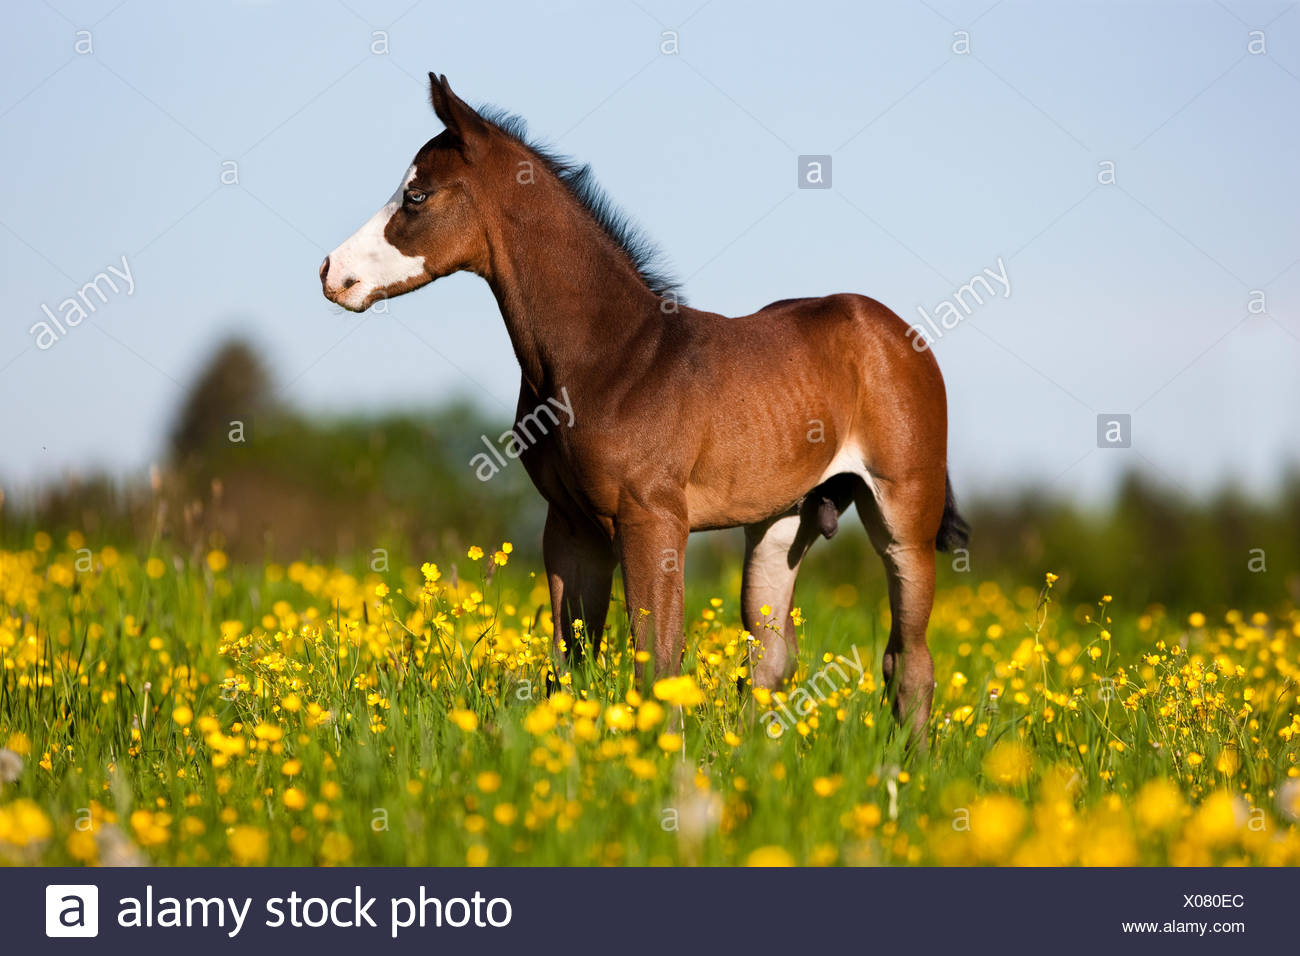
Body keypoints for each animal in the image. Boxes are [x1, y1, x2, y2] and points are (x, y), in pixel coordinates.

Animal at [320, 73, 969, 746]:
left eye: (416, 196)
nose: (332, 274)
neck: (608, 356)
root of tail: (896, 333)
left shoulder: (652, 518)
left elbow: (656, 660)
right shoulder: (571, 526)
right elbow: (570, 662)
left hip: (904, 511)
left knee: (909, 657)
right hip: (780, 521)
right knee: (771, 653)